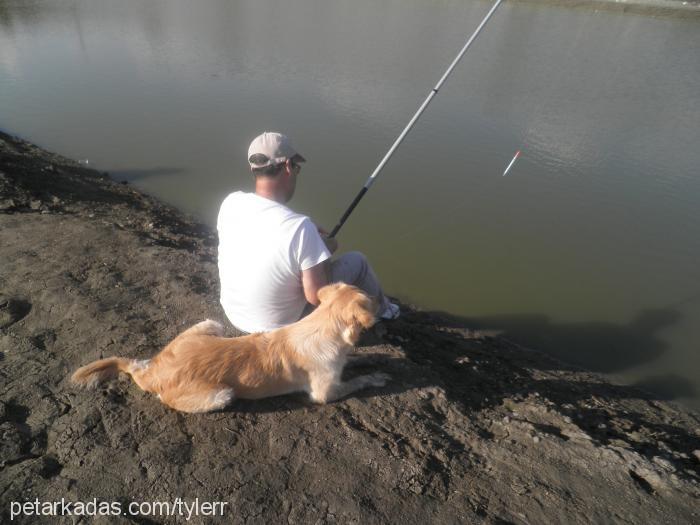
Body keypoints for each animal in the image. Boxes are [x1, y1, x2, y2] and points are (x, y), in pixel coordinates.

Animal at [70, 282, 388, 414]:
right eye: (371, 298)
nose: (383, 298)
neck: (322, 327)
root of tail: (153, 373)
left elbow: (353, 362)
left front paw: (369, 362)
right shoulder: (325, 393)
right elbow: (357, 381)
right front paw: (376, 377)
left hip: (211, 324)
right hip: (223, 394)